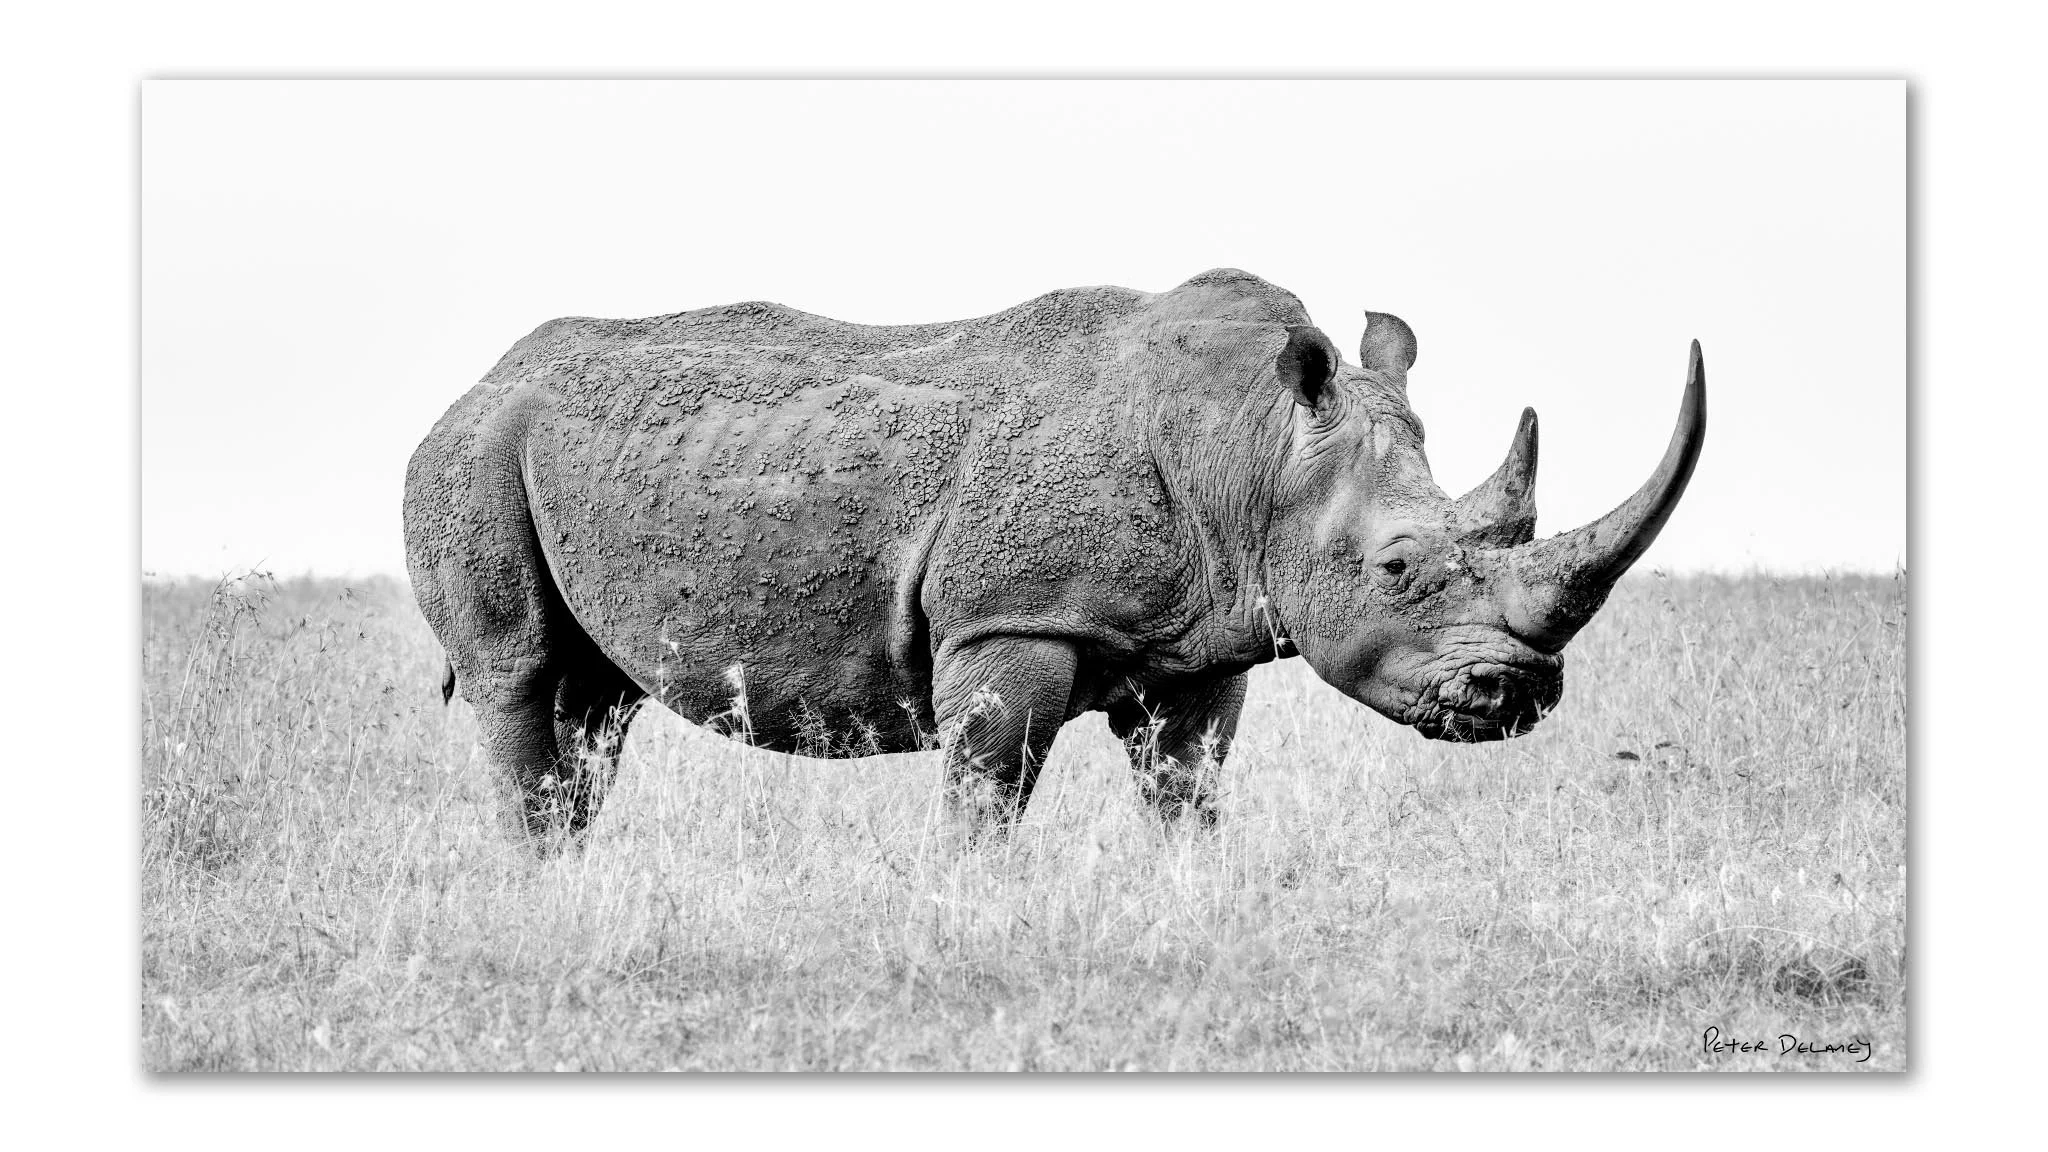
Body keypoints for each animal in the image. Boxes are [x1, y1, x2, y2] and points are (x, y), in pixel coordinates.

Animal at [404, 268, 1703, 847]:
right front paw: (967, 908)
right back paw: (539, 875)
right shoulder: (1009, 620)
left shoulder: (1201, 645)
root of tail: (472, 380)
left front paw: (1190, 894)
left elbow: (1185, 789)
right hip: (471, 456)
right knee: (520, 675)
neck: (1253, 446)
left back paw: (573, 868)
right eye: (1395, 571)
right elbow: (986, 793)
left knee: (593, 701)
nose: (1512, 694)